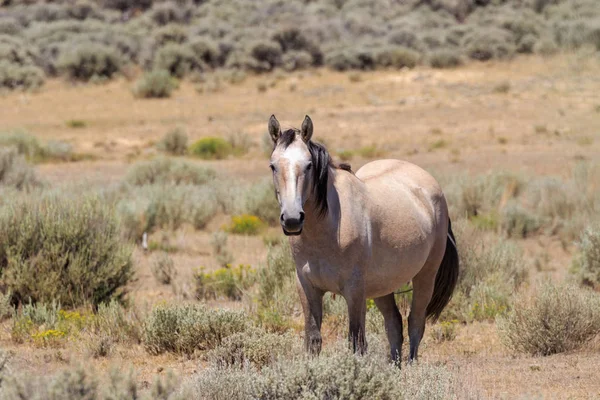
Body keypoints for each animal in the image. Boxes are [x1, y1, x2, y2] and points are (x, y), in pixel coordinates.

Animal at [268, 114, 460, 364]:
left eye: (309, 165)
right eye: (273, 166)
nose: (292, 219)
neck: (327, 232)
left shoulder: (355, 291)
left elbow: (356, 342)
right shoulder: (307, 288)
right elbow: (313, 340)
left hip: (425, 276)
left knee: (415, 323)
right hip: (383, 286)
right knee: (394, 324)